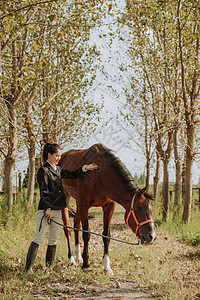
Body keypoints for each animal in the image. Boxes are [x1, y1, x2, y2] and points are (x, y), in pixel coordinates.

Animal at [59, 144, 156, 274]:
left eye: (151, 209)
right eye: (139, 208)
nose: (151, 237)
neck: (100, 175)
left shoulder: (109, 206)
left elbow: (106, 235)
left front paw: (106, 266)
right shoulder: (84, 205)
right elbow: (86, 234)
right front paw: (86, 264)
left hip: (78, 203)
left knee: (76, 225)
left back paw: (78, 256)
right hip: (66, 198)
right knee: (67, 228)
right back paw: (71, 259)